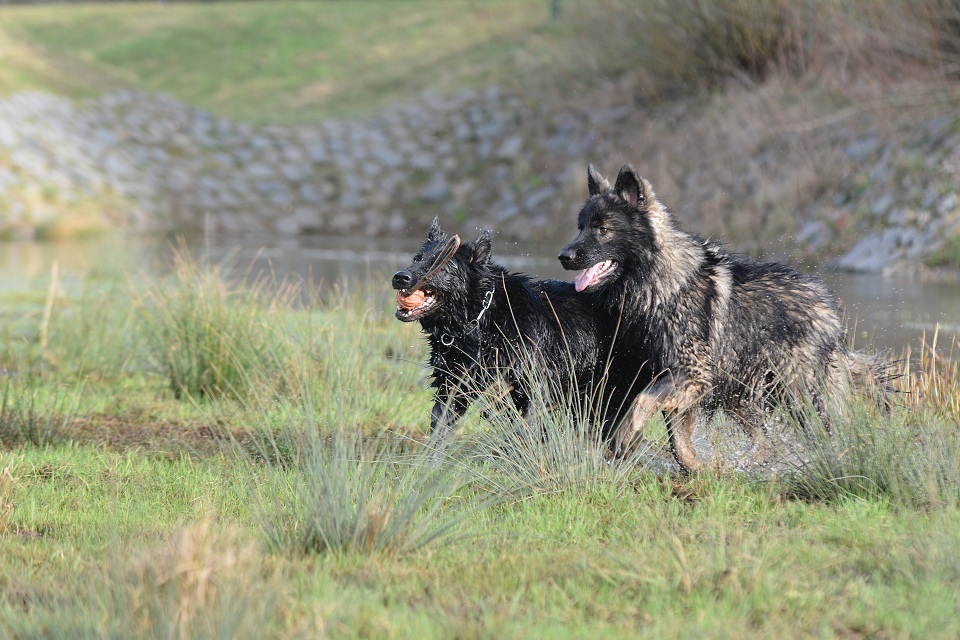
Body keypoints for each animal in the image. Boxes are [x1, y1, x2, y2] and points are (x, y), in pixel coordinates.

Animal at [394, 218, 628, 440]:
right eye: (417, 259)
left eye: (443, 265)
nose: (400, 277)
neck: (481, 323)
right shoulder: (451, 388)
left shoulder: (535, 389)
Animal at [559, 164, 889, 472]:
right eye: (581, 227)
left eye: (603, 229)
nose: (564, 256)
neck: (659, 280)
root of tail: (828, 307)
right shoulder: (685, 380)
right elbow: (677, 439)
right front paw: (698, 468)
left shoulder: (692, 371)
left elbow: (642, 402)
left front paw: (624, 439)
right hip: (738, 391)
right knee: (765, 443)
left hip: (799, 392)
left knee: (823, 432)